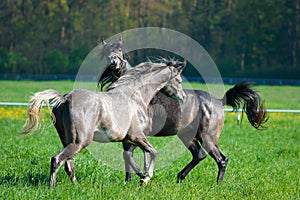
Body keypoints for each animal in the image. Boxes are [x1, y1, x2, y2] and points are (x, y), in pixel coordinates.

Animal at [21, 60, 185, 187]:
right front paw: (145, 178)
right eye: (179, 80)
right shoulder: (136, 136)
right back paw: (52, 187)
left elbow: (136, 155)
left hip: (67, 140)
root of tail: (65, 98)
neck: (135, 97)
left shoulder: (131, 139)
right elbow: (153, 152)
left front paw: (141, 176)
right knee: (57, 160)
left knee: (68, 164)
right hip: (79, 142)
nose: (182, 98)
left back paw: (75, 186)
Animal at [99, 38, 270, 184]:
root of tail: (219, 101)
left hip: (207, 137)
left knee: (221, 159)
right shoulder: (128, 136)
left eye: (121, 50)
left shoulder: (139, 133)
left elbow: (132, 154)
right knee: (198, 155)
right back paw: (180, 177)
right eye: (107, 52)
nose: (114, 63)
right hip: (187, 135)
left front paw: (143, 175)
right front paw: (130, 180)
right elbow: (128, 156)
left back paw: (217, 184)